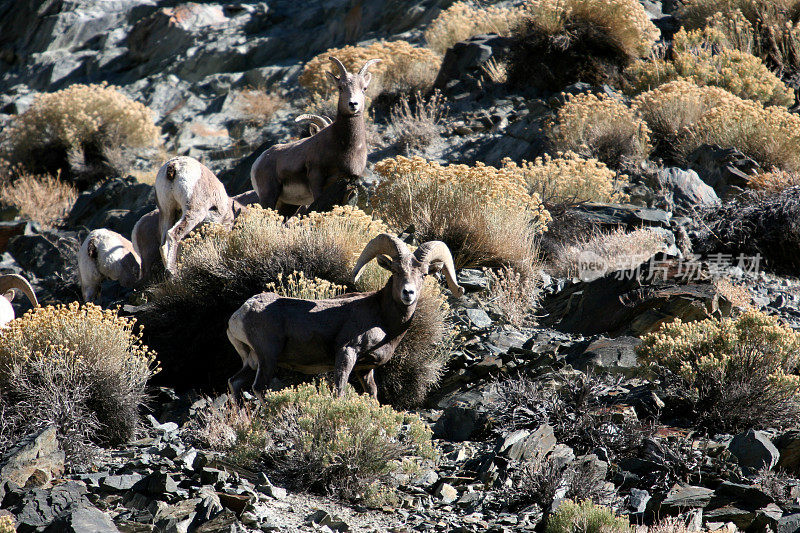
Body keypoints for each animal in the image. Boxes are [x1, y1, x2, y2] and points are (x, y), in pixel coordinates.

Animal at [225, 233, 462, 400]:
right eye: (395, 271)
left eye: (423, 274)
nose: (408, 293)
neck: (385, 321)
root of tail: (240, 314)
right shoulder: (347, 352)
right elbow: (339, 391)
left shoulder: (365, 369)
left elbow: (372, 395)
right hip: (267, 357)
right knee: (259, 389)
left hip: (252, 361)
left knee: (235, 383)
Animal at [250, 57, 382, 217]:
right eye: (340, 87)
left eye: (364, 88)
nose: (353, 104)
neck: (347, 146)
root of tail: (258, 162)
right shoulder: (317, 178)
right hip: (269, 196)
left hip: (288, 205)